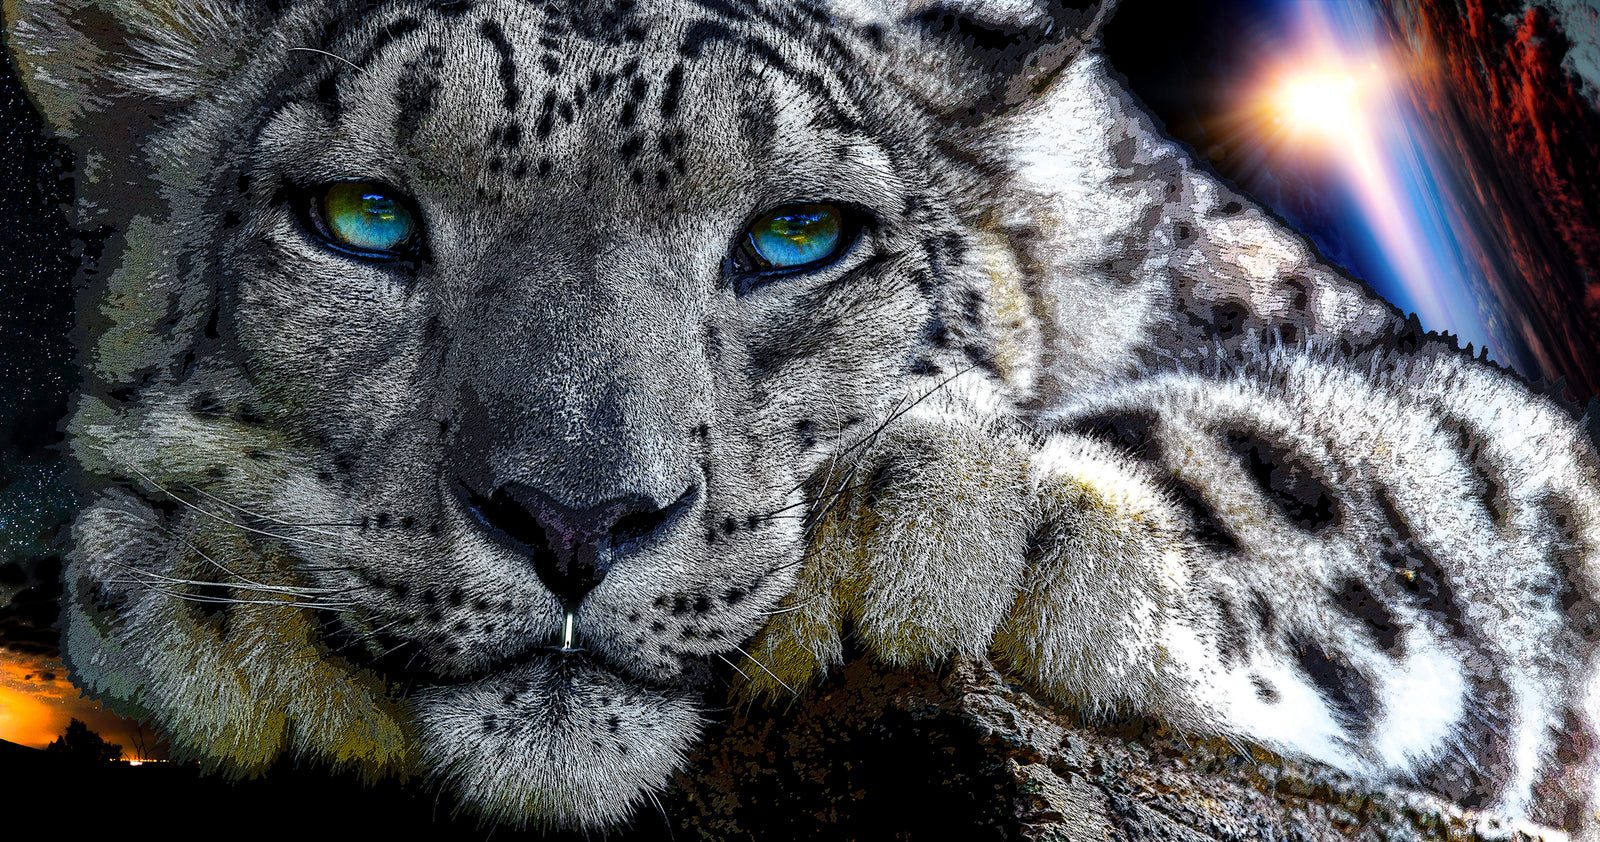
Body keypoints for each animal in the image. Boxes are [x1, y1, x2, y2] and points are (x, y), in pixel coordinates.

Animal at [6, 0, 1599, 835]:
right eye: (363, 217)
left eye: (797, 238)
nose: (576, 517)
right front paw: (212, 594)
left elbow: (1344, 458)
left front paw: (995, 513)